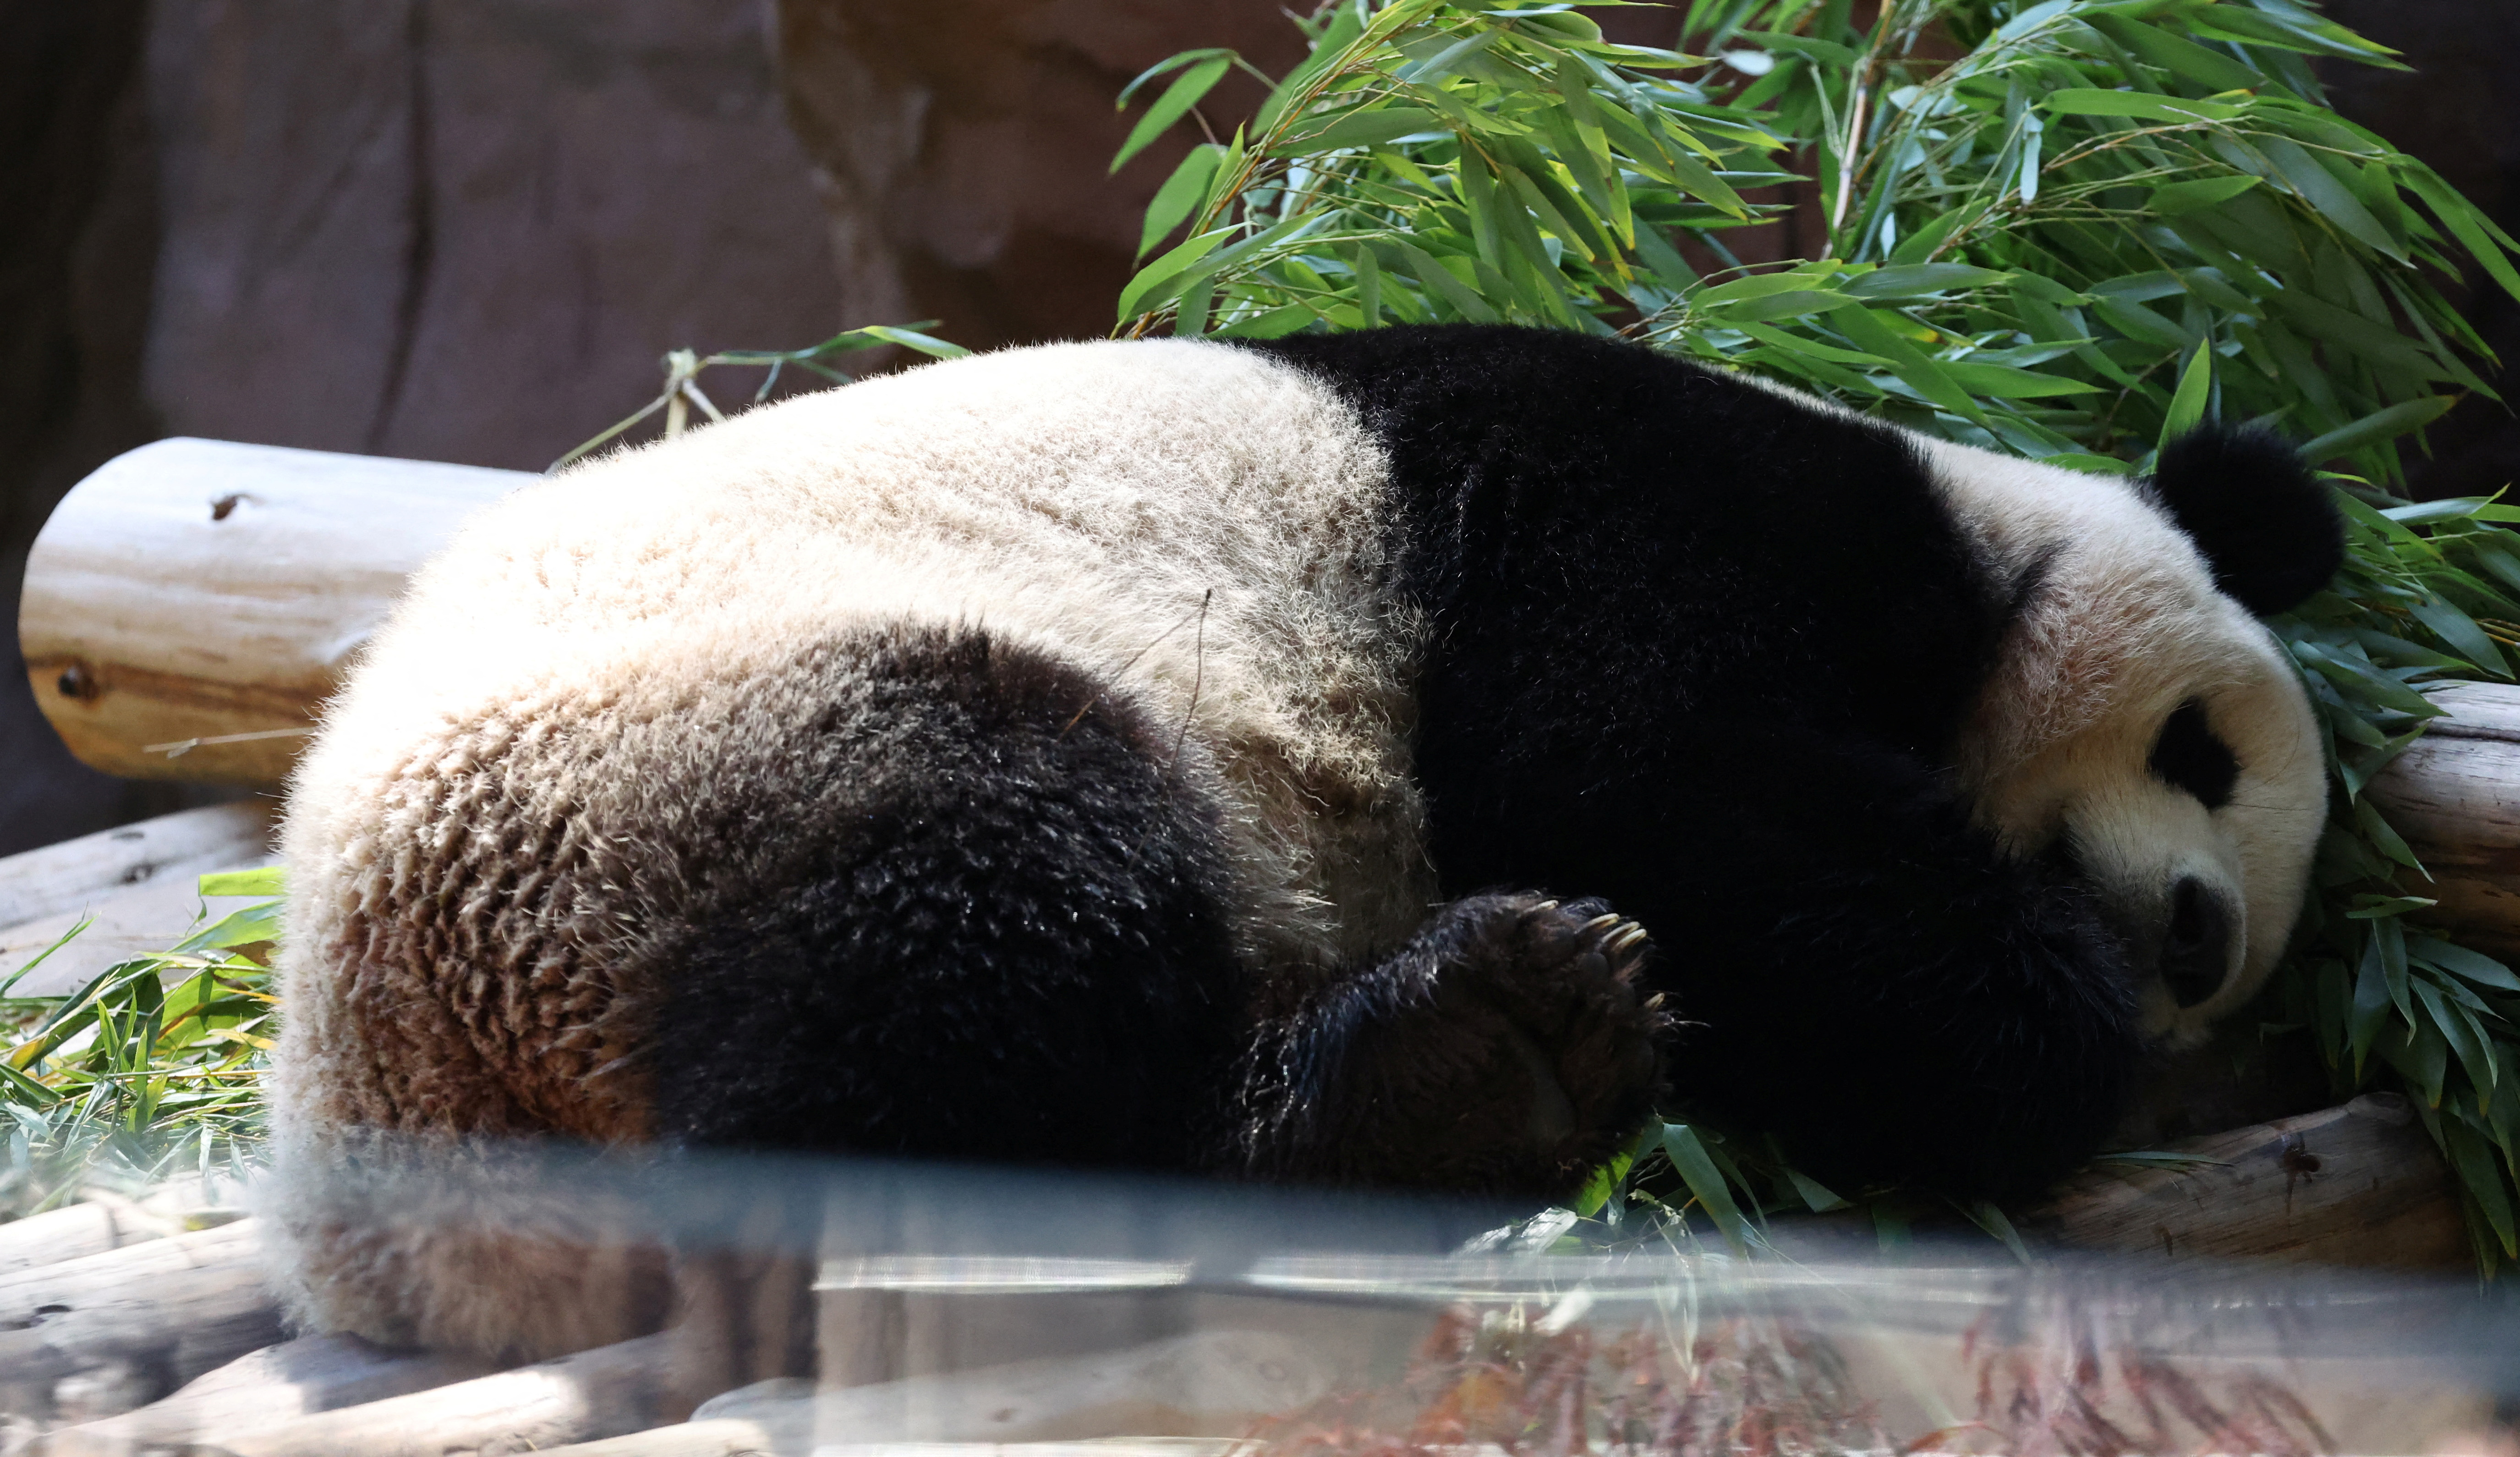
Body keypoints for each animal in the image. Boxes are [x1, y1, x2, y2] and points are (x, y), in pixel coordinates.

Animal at [264, 323, 2339, 1361]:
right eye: (2202, 749)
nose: (2193, 934)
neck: (1982, 535)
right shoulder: (1639, 499)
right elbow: (1632, 768)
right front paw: (2038, 1025)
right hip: (701, 757)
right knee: (981, 908)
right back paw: (1438, 1072)